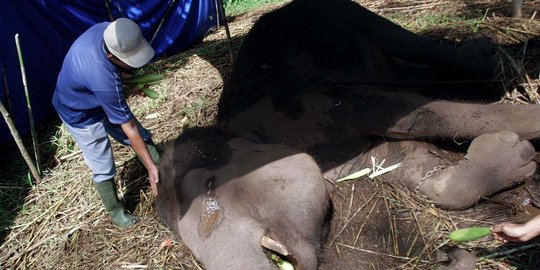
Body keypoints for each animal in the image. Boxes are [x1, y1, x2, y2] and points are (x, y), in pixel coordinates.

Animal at [156, 0, 536, 268]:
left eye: (209, 185)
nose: (452, 256)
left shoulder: (319, 102)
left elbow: (422, 115)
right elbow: (408, 165)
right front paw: (514, 154)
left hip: (350, 14)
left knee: (415, 46)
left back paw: (488, 56)